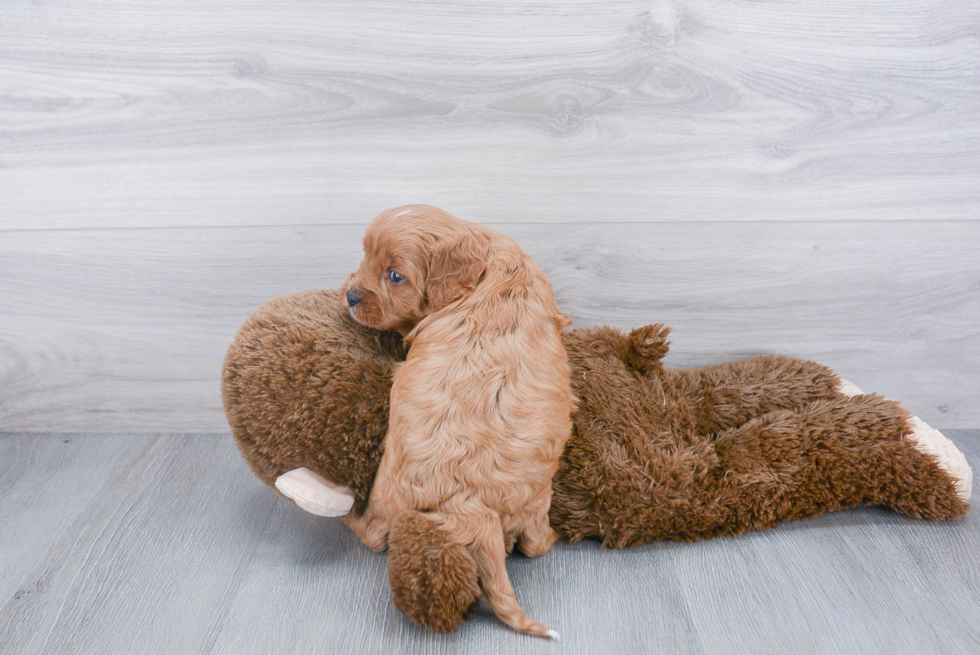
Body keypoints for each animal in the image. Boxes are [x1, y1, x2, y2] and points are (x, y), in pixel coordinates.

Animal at [342, 204, 576, 636]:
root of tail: (470, 505)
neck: (488, 267)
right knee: (535, 544)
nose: (350, 296)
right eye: (366, 256)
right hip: (537, 497)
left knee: (373, 535)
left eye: (395, 275)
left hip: (388, 488)